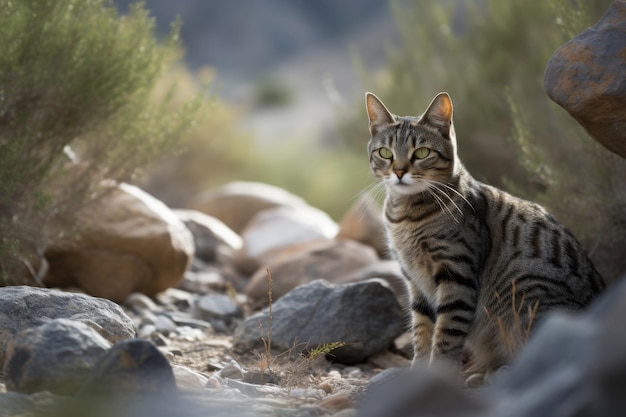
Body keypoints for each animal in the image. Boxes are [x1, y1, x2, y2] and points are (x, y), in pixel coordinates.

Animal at [364, 92, 604, 384]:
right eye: (385, 153)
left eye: (421, 153)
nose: (399, 172)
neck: (407, 215)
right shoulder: (415, 281)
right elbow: (422, 331)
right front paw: (417, 374)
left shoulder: (456, 274)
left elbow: (446, 334)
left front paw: (437, 377)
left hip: (525, 292)